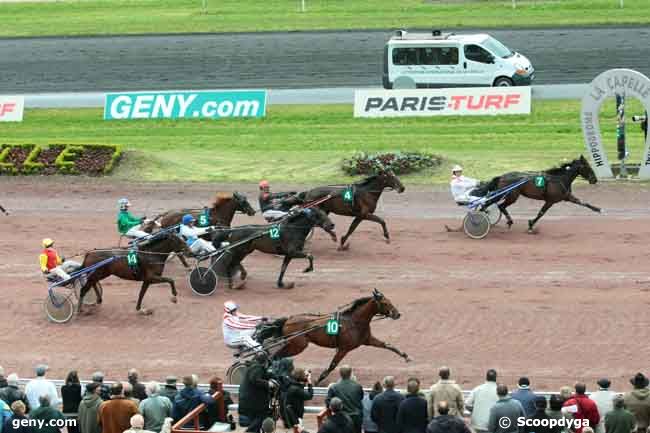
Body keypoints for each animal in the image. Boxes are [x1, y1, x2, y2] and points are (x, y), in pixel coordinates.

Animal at [262, 288, 404, 384]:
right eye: (385, 303)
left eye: (389, 301)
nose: (397, 314)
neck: (354, 321)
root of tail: (289, 319)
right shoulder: (344, 349)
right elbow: (332, 365)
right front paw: (318, 380)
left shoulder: (367, 340)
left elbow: (387, 345)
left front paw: (405, 356)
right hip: (298, 345)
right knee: (277, 355)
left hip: (293, 344)